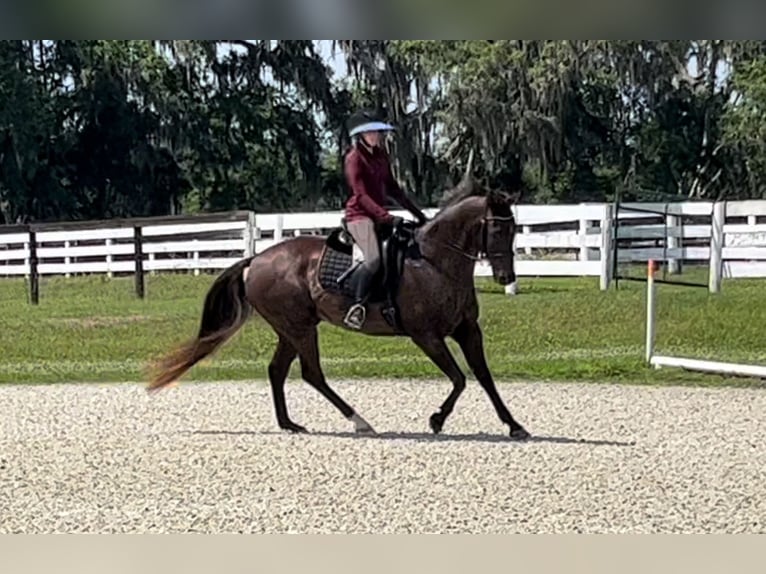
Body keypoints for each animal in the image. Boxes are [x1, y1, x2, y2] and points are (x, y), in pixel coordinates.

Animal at [147, 166, 532, 440]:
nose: (505, 277)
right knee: (312, 373)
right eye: (497, 230)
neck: (435, 261)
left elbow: (483, 376)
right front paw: (437, 419)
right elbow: (459, 378)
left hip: (291, 328)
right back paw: (359, 421)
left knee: (278, 370)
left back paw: (290, 424)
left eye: (514, 230)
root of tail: (256, 260)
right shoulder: (426, 335)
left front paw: (514, 425)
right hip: (300, 328)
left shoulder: (468, 330)